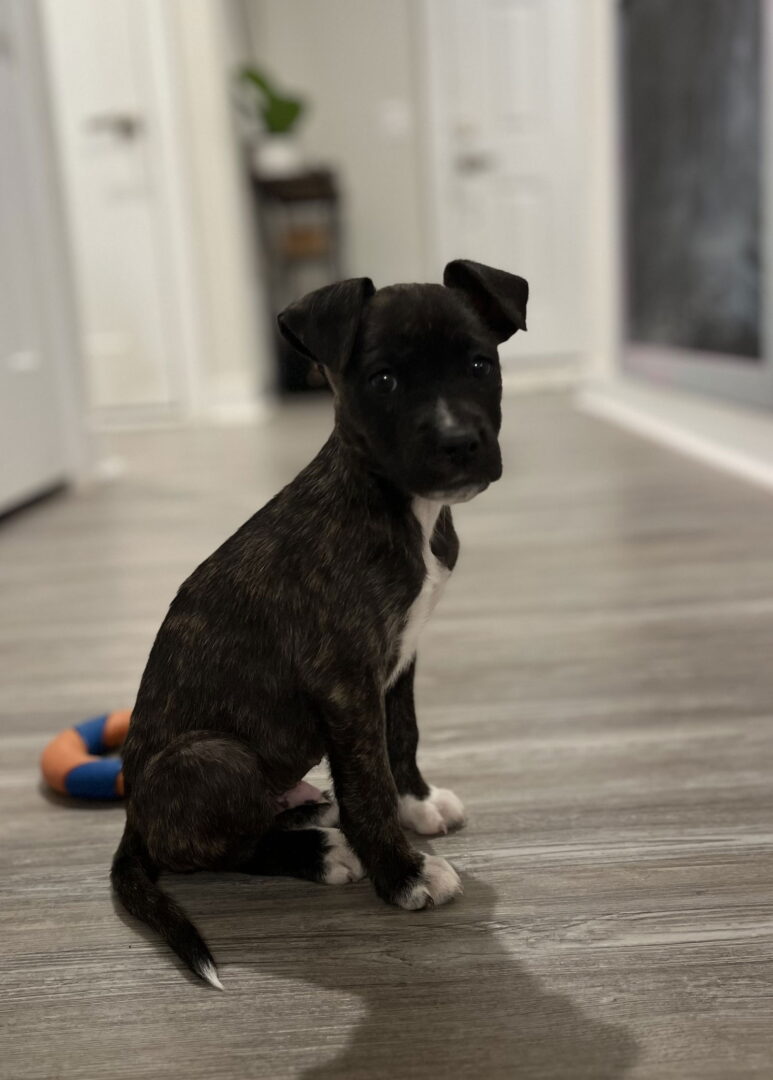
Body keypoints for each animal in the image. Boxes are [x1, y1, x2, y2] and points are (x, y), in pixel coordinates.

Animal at [111, 259, 528, 988]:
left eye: (479, 364)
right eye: (383, 381)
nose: (459, 443)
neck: (394, 505)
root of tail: (132, 818)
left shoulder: (398, 662)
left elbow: (400, 740)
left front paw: (416, 804)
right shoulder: (345, 682)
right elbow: (366, 779)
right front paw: (403, 873)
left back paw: (309, 809)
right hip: (212, 758)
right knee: (217, 848)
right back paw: (320, 852)